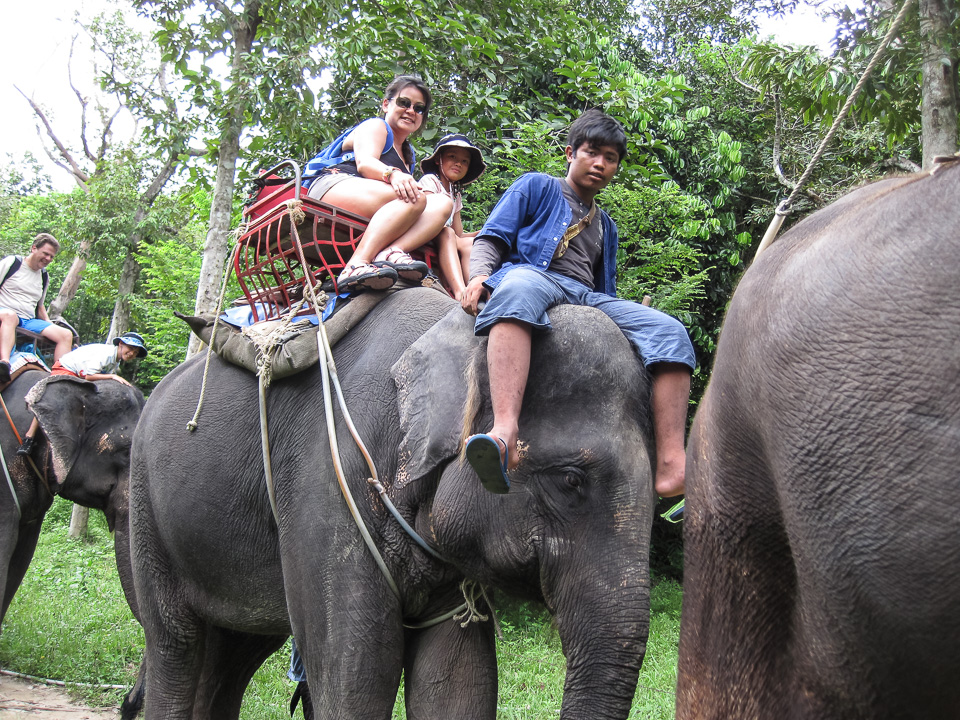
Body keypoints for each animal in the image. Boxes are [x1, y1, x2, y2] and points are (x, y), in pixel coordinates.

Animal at [129, 286, 659, 719]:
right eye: (571, 480)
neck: (466, 329)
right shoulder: (330, 481)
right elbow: (357, 676)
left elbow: (457, 682)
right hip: (144, 507)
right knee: (175, 641)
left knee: (234, 650)